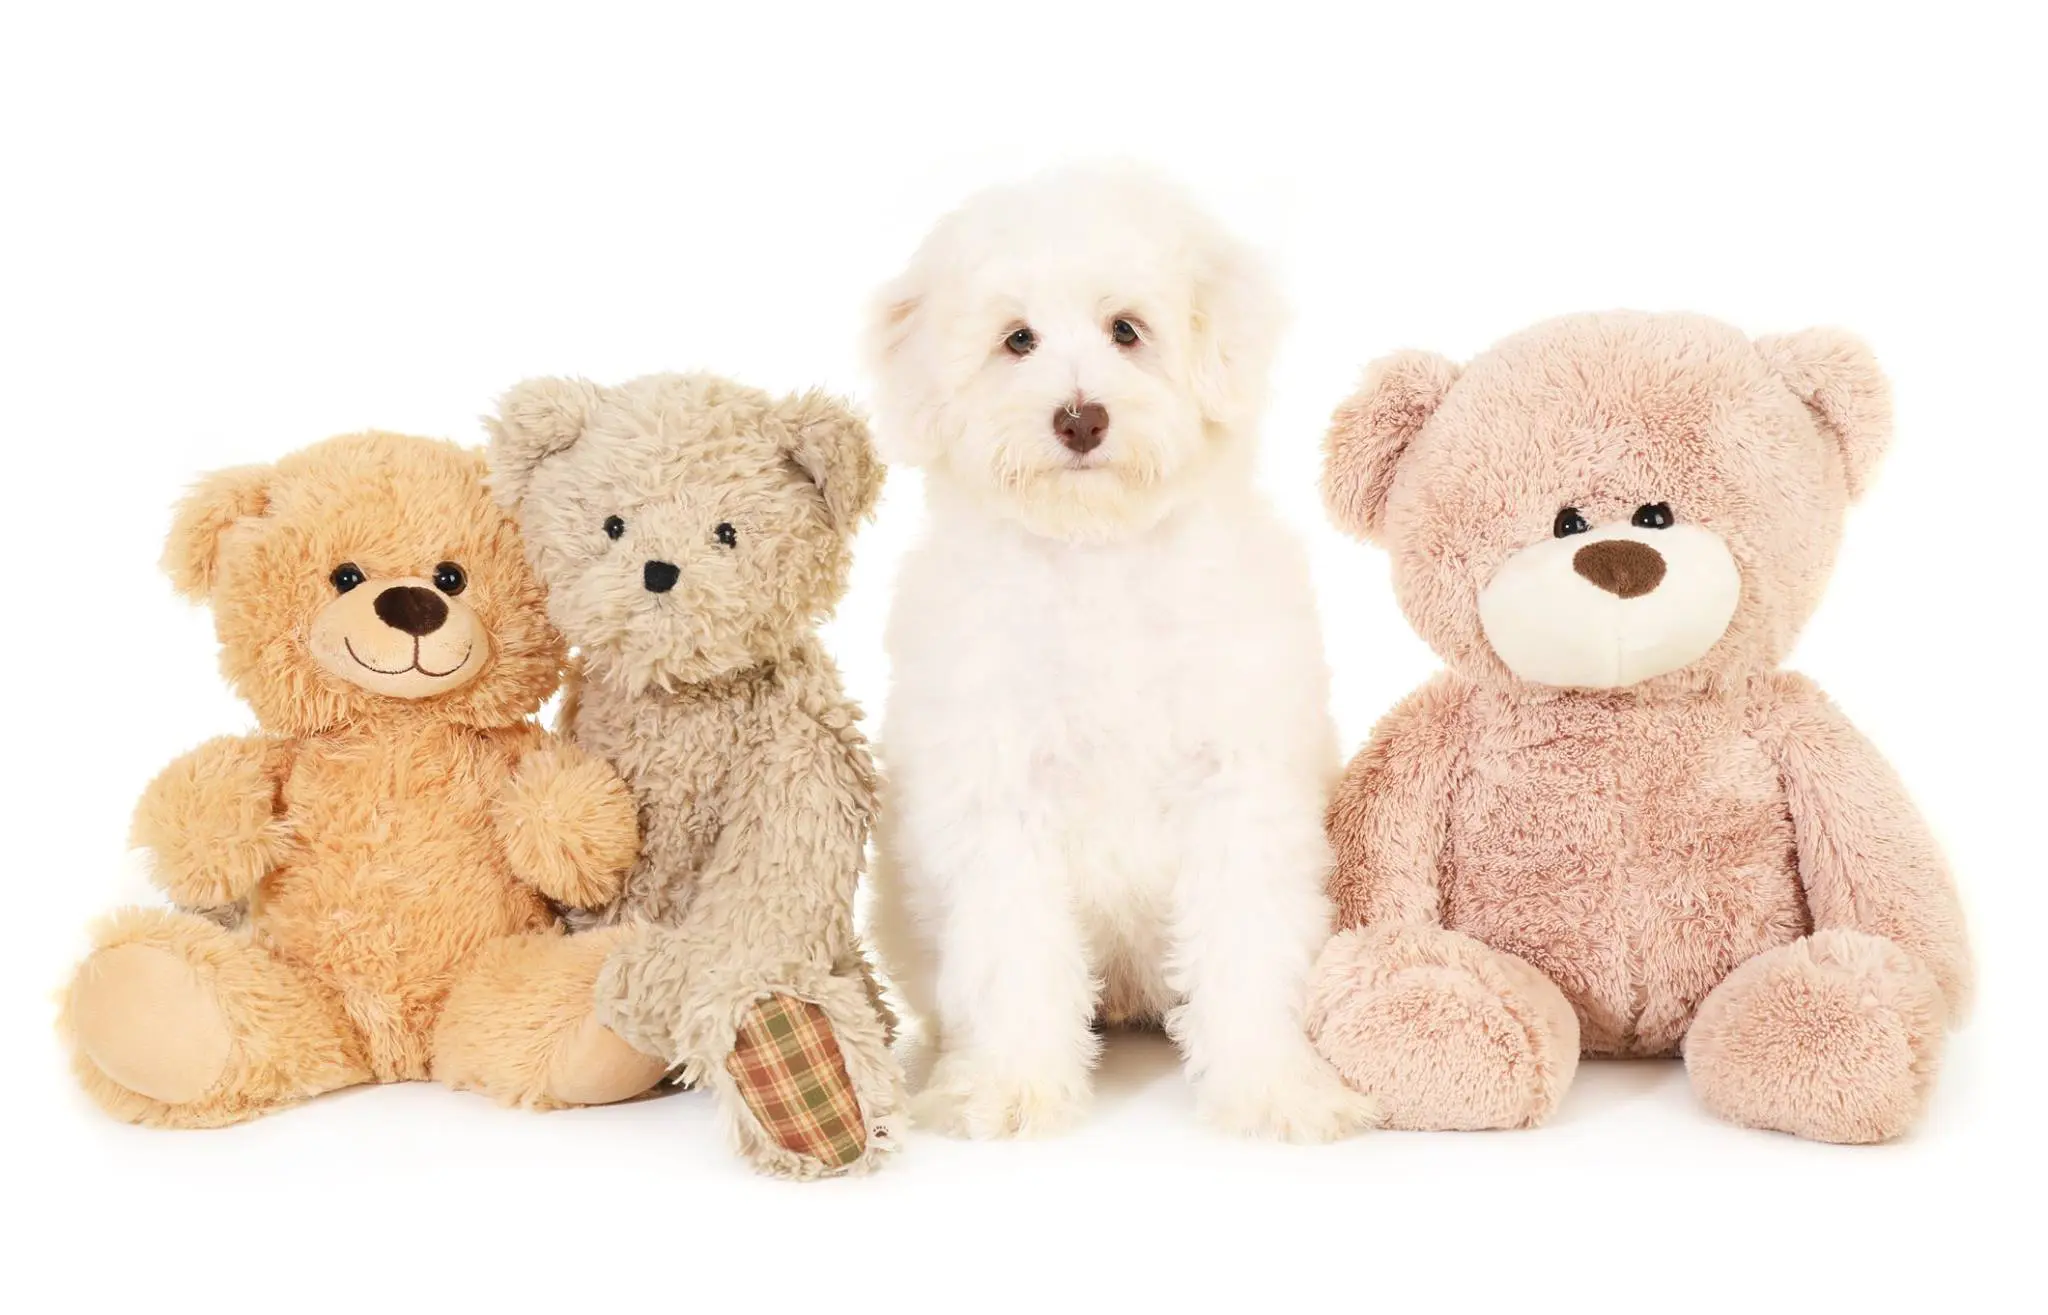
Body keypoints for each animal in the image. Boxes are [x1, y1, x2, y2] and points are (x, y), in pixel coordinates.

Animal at [856, 165, 1368, 1138]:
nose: (1080, 418)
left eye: (1127, 329)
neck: (1099, 555)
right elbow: (1014, 951)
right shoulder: (998, 795)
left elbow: (1246, 945)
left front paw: (1272, 1085)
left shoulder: (1236, 786)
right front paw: (1014, 1084)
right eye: (1017, 339)